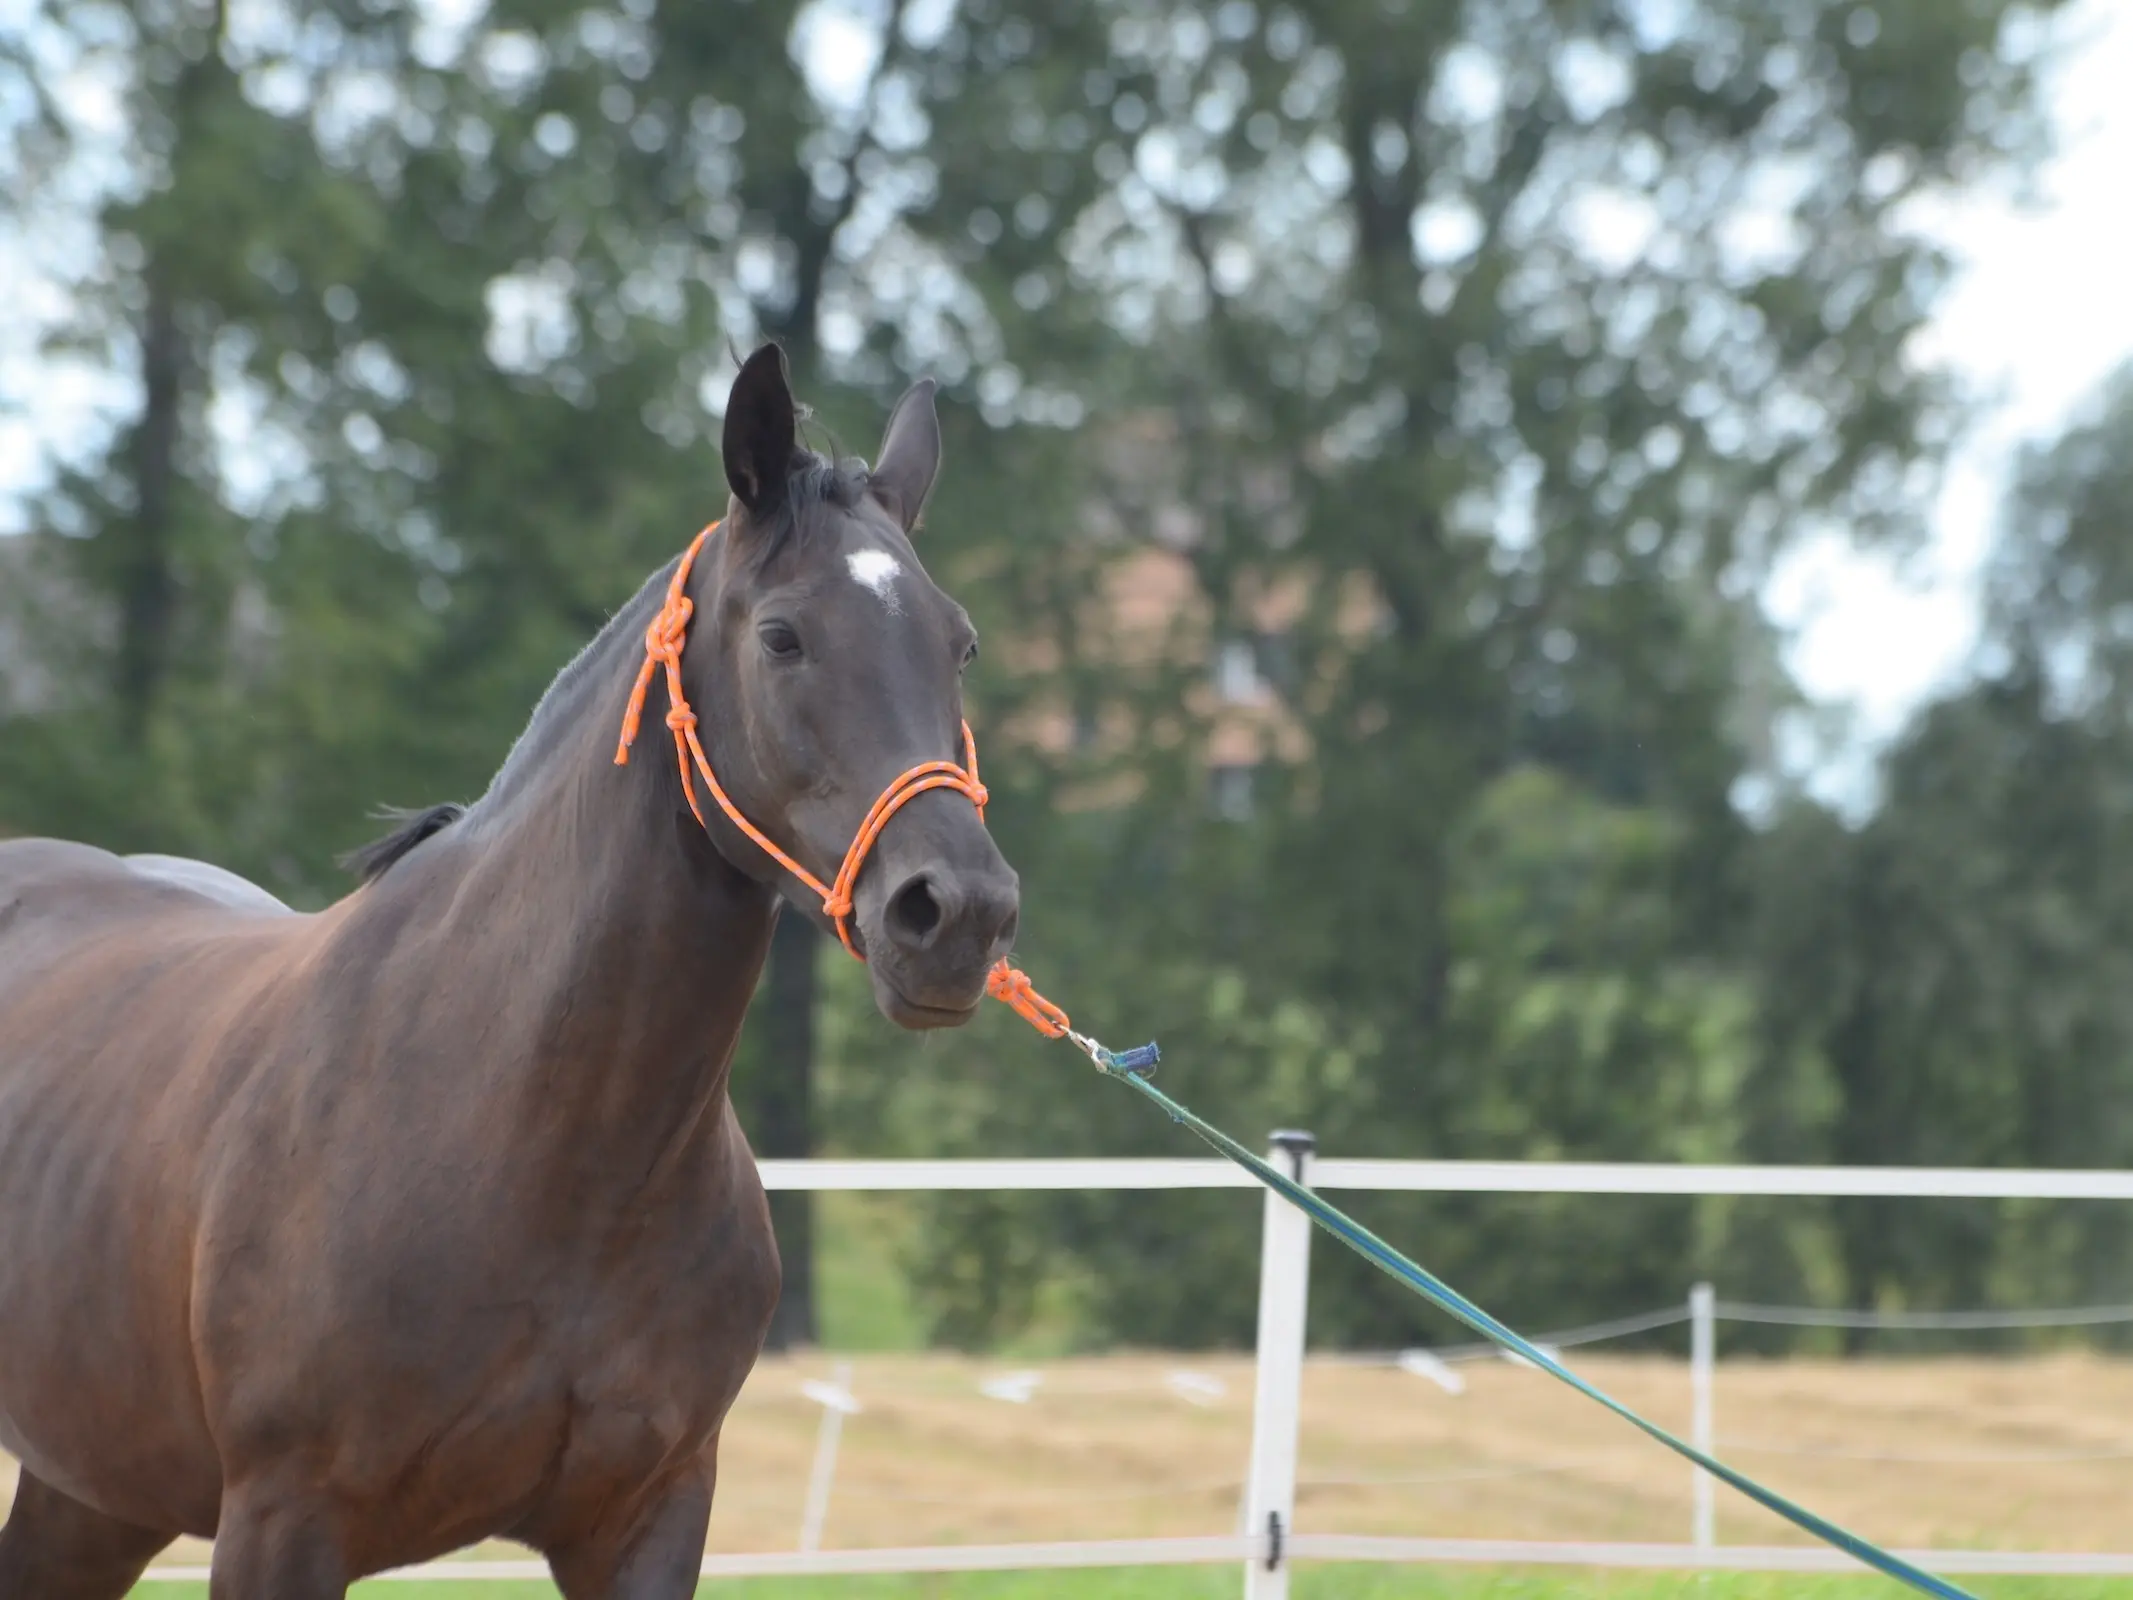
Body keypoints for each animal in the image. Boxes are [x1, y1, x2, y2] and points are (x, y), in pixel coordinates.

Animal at [0, 345, 1023, 1595]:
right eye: (783, 635)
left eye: (957, 641)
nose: (957, 913)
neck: (533, 1129)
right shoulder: (282, 1522)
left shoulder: (646, 1515)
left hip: (94, 1487)